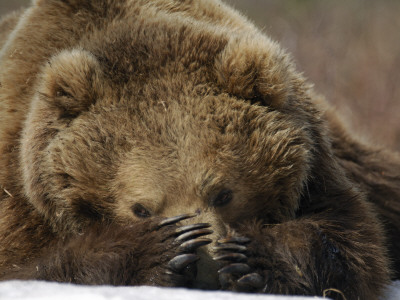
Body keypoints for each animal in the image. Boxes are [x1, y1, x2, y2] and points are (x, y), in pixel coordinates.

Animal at [0, 0, 398, 298]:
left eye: (223, 193)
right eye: (140, 209)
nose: (205, 271)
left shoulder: (315, 166)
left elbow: (352, 240)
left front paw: (250, 257)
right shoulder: (23, 192)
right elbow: (25, 264)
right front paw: (159, 250)